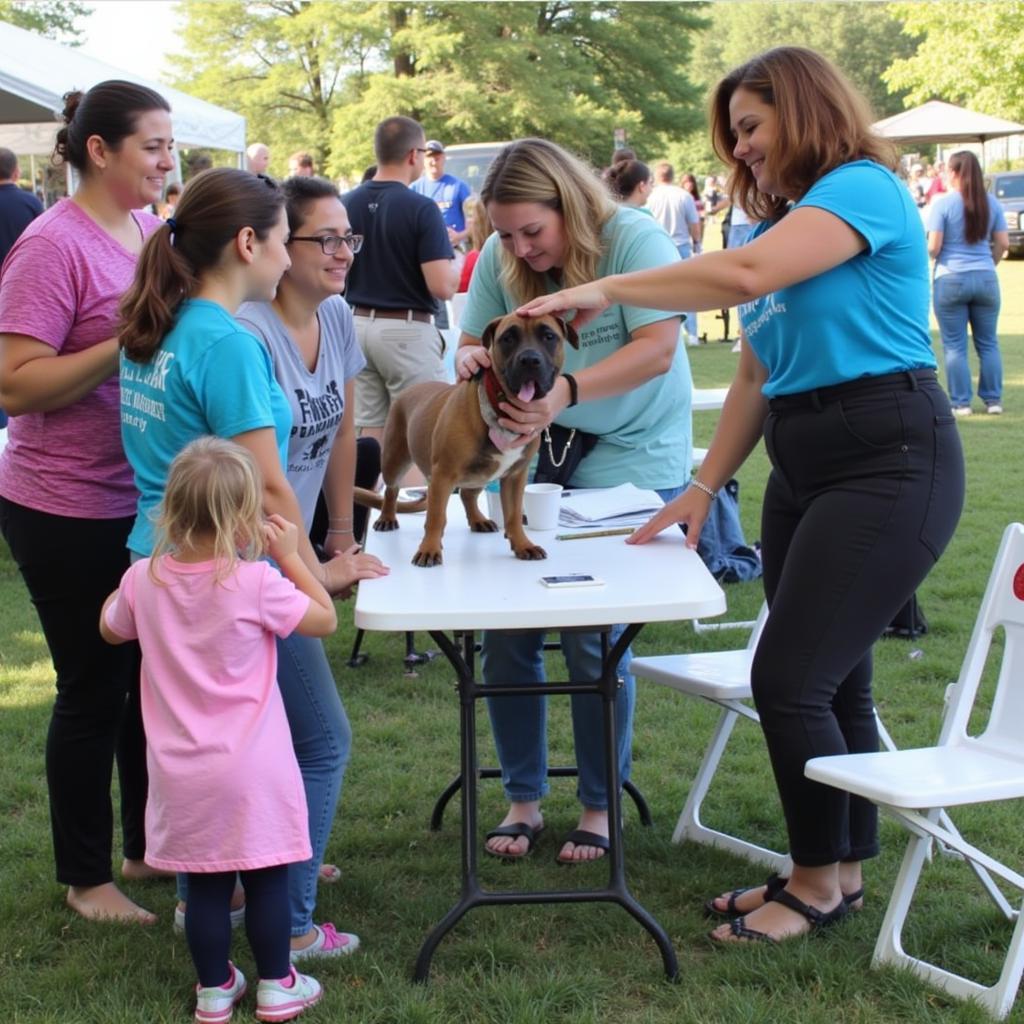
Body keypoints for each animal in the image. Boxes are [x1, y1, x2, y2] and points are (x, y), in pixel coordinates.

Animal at [354, 313, 577, 569]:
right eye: (508, 338)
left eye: (549, 336)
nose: (530, 359)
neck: (501, 408)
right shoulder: (443, 475)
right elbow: (436, 517)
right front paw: (429, 548)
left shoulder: (514, 477)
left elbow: (513, 516)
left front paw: (523, 544)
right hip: (394, 459)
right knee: (392, 489)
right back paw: (387, 517)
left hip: (479, 473)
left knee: (468, 495)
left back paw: (478, 519)